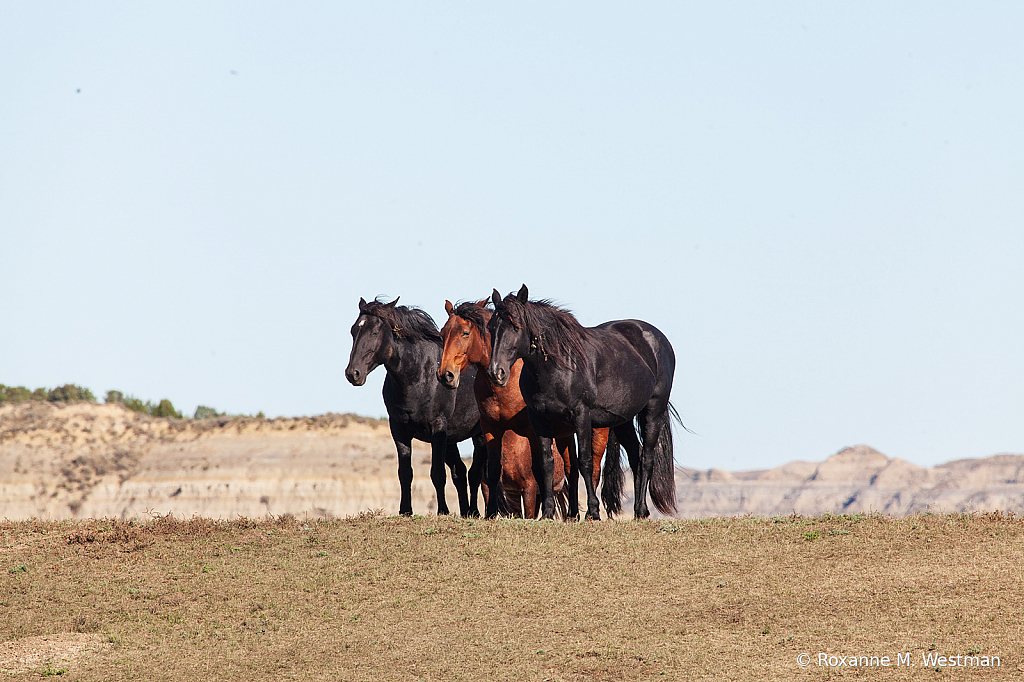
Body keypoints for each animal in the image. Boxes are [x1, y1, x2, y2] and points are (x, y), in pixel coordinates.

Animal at [344, 294, 487, 512]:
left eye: (375, 331)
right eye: (353, 330)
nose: (353, 373)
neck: (418, 375)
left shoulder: (438, 427)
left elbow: (437, 473)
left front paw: (443, 511)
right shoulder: (399, 429)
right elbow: (405, 473)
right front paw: (405, 510)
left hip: (479, 435)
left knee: (477, 474)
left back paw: (479, 511)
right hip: (452, 439)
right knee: (461, 472)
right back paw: (466, 512)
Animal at [436, 296, 618, 516]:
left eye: (465, 332)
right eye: (442, 334)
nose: (445, 374)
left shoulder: (532, 431)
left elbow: (539, 473)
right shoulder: (490, 427)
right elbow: (494, 471)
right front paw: (490, 513)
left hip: (596, 431)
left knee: (592, 470)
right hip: (565, 435)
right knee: (571, 469)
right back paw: (573, 515)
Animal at [487, 284, 679, 518]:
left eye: (516, 326)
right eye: (491, 327)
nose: (496, 372)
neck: (558, 367)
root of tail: (656, 338)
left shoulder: (581, 416)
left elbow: (585, 462)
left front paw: (593, 511)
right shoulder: (539, 419)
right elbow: (546, 464)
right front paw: (548, 512)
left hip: (652, 411)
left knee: (647, 459)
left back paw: (642, 509)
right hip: (623, 420)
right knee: (636, 457)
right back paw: (637, 510)